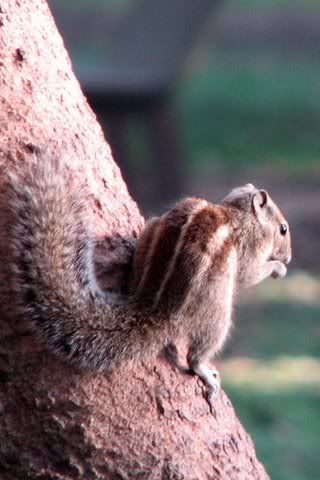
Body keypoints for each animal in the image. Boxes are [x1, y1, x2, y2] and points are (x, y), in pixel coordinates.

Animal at [5, 155, 290, 402]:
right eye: (283, 229)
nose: (288, 257)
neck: (234, 212)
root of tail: (156, 309)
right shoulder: (249, 247)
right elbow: (249, 273)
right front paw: (277, 268)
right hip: (216, 311)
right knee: (197, 354)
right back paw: (205, 371)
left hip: (149, 234)